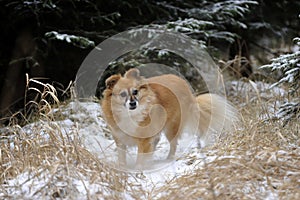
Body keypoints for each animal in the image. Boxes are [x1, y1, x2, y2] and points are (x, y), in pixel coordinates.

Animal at [101, 68, 237, 166]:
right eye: (123, 94)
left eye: (135, 92)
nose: (133, 103)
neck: (129, 114)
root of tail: (185, 86)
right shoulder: (119, 139)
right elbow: (122, 157)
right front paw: (123, 168)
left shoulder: (144, 140)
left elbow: (140, 158)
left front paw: (139, 169)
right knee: (157, 141)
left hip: (171, 127)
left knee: (173, 143)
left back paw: (169, 158)